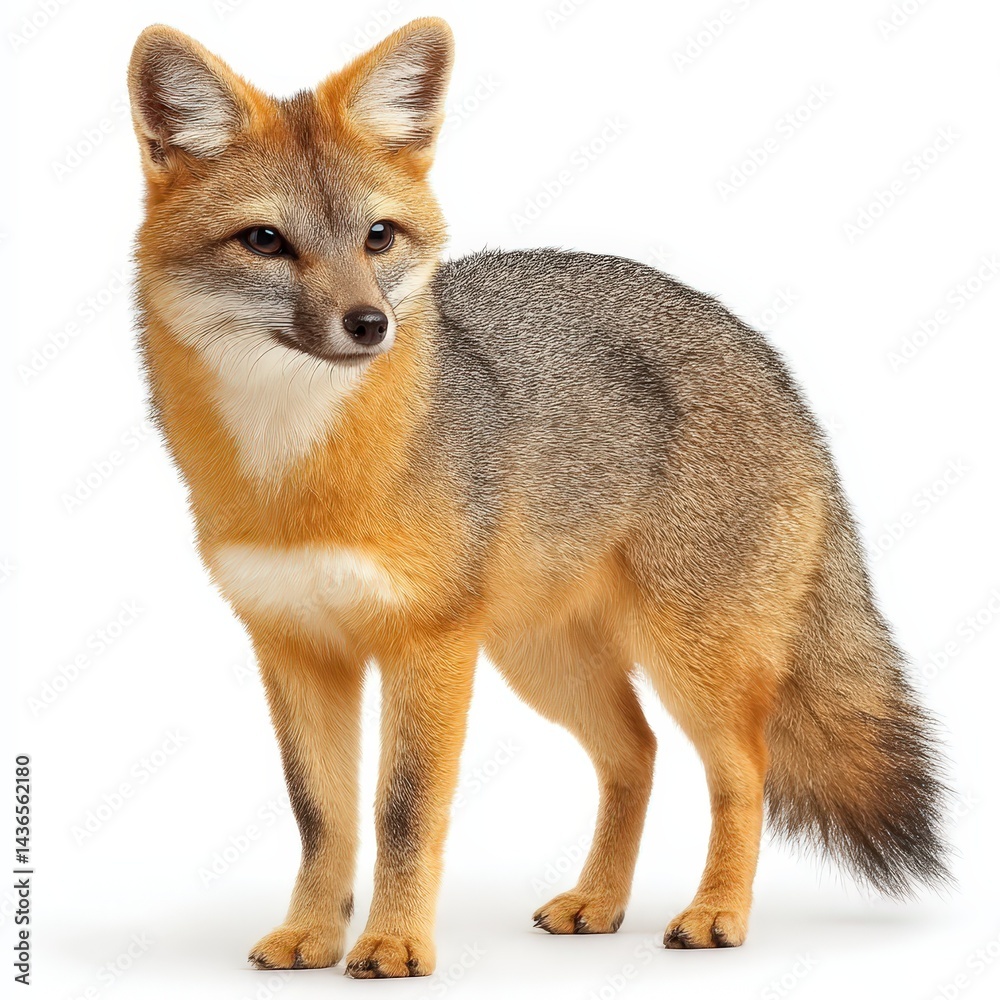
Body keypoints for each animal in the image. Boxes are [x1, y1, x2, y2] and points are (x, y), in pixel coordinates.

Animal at [127, 17, 949, 979]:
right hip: (543, 659)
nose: (370, 326)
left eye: (378, 237)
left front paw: (395, 943)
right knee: (637, 753)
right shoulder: (293, 647)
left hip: (688, 657)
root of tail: (769, 356)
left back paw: (716, 912)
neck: (302, 475)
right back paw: (601, 901)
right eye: (265, 241)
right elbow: (318, 813)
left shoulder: (428, 645)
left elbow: (403, 810)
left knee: (743, 768)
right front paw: (314, 934)